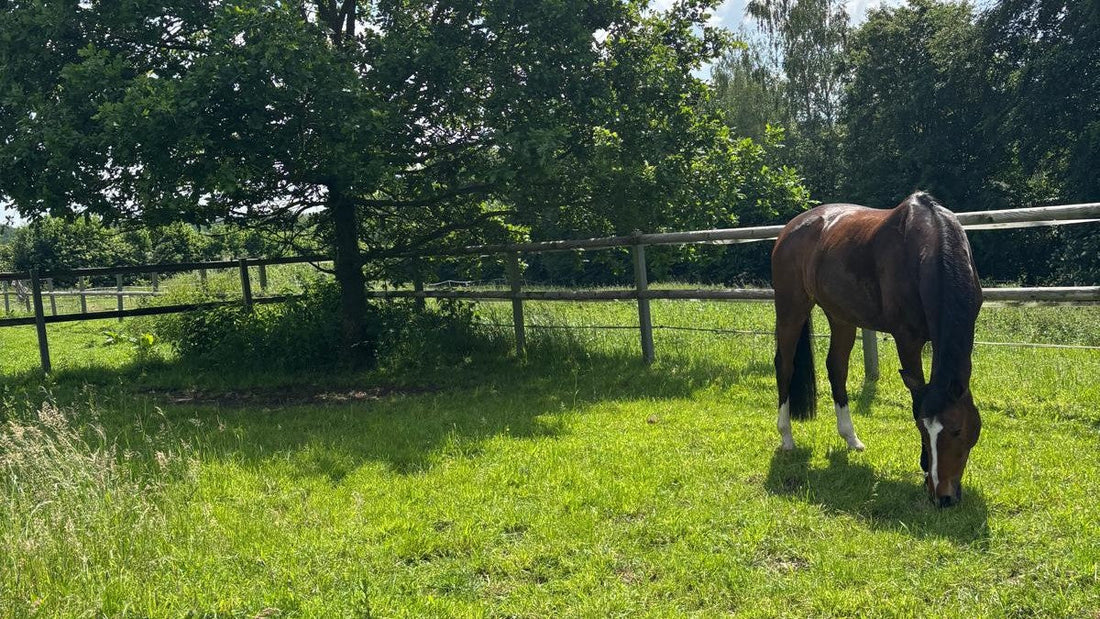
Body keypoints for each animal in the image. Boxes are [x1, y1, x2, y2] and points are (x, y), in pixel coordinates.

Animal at [771, 191, 983, 507]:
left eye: (958, 430)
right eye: (922, 429)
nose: (942, 496)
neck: (930, 243)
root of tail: (789, 229)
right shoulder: (907, 340)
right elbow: (915, 400)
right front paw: (923, 470)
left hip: (841, 317)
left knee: (836, 368)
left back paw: (850, 438)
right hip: (791, 308)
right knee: (784, 365)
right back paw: (787, 437)